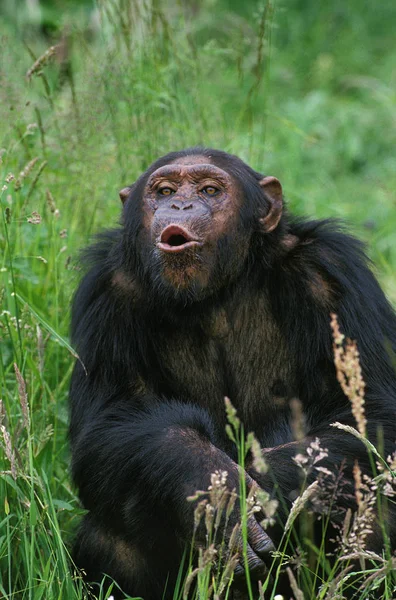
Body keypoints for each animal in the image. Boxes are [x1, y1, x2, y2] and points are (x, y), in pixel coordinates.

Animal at [70, 148, 396, 596]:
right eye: (164, 191)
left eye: (210, 190)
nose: (180, 205)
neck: (221, 290)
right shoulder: (108, 292)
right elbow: (106, 425)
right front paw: (206, 481)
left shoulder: (333, 273)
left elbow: (370, 417)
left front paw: (239, 493)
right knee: (111, 530)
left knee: (372, 509)